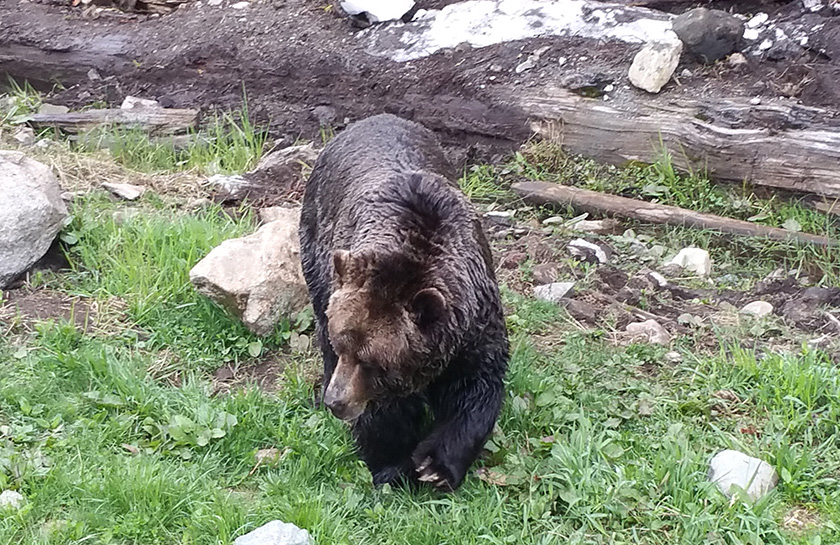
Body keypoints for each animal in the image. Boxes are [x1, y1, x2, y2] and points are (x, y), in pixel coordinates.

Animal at [299, 113, 509, 492]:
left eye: (371, 361)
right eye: (343, 345)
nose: (336, 402)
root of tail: (372, 118)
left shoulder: (474, 329)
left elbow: (476, 391)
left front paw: (435, 466)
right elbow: (385, 413)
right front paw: (392, 464)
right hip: (317, 243)